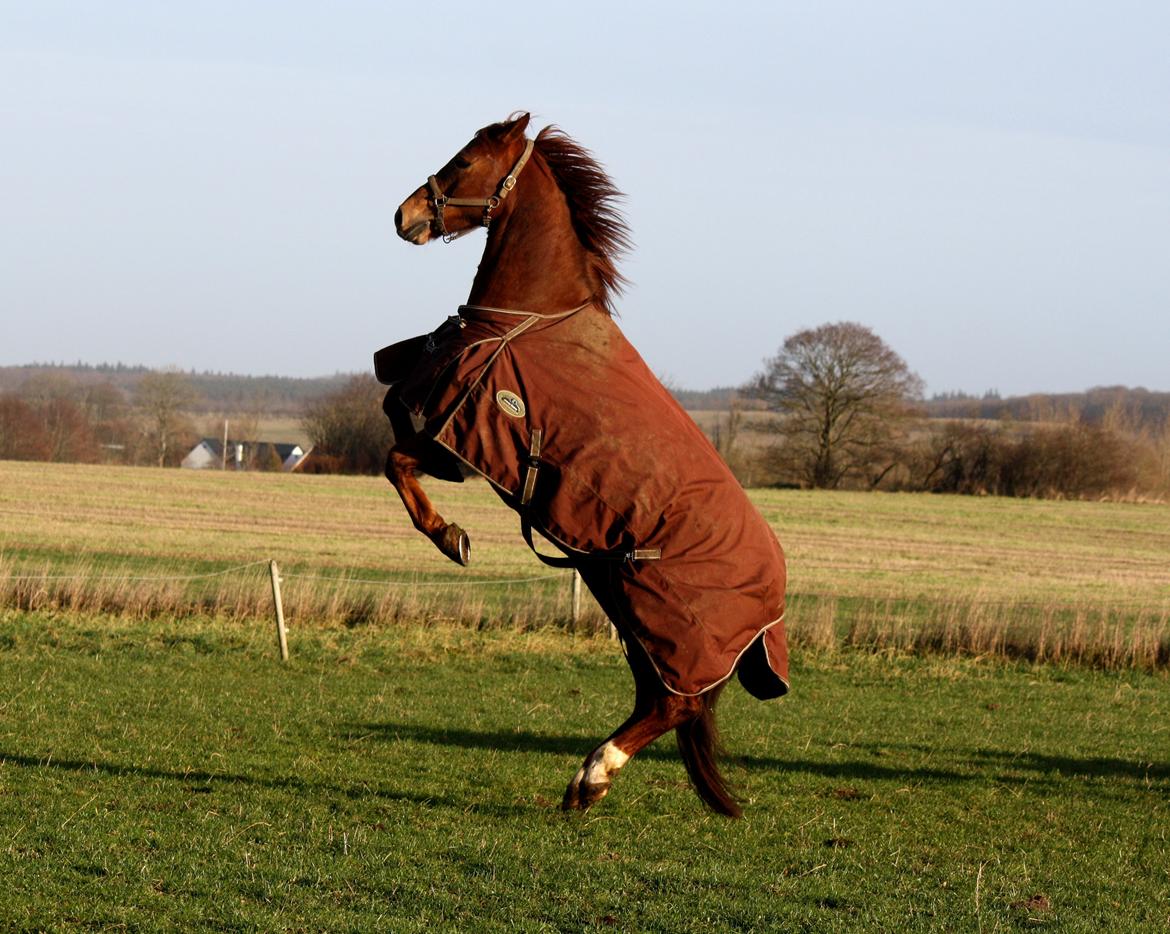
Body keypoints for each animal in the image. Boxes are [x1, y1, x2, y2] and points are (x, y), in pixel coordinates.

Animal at [379, 111, 790, 819]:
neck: (529, 314)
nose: (404, 216)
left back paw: (594, 774)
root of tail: (773, 600)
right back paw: (585, 782)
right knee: (660, 698)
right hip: (627, 604)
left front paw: (452, 539)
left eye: (465, 161)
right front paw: (453, 536)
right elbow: (391, 443)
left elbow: (396, 462)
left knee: (673, 704)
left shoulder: (459, 440)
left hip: (652, 614)